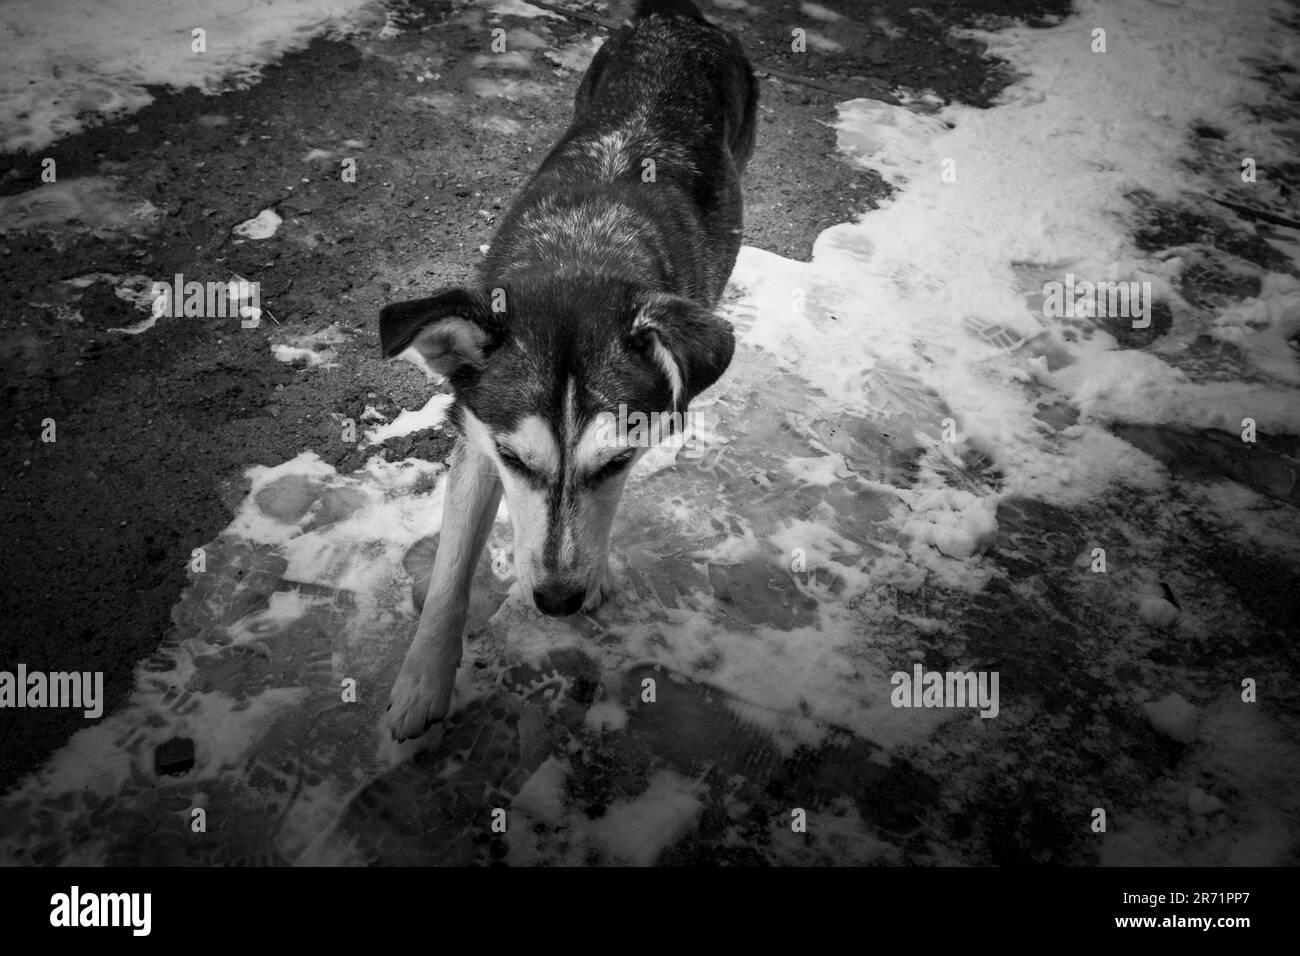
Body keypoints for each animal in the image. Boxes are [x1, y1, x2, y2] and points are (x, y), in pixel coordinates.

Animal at [379, 0, 759, 738]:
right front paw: (421, 680)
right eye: (515, 461)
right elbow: (449, 571)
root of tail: (678, 16)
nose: (556, 602)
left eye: (613, 463)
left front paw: (598, 571)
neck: (583, 252)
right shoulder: (477, 435)